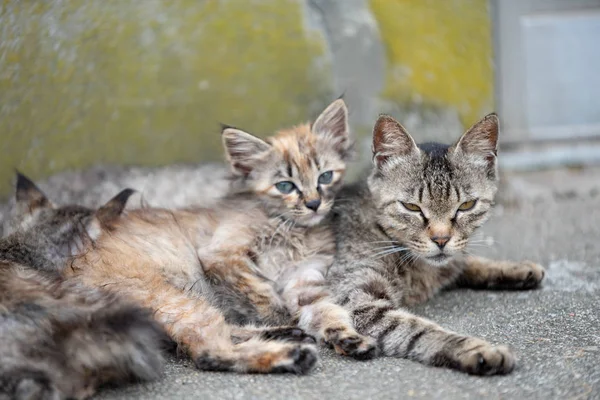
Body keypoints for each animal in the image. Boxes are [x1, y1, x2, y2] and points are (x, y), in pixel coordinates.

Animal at [65, 97, 376, 376]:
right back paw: (291, 352)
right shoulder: (223, 256)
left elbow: (328, 311)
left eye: (325, 177)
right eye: (285, 186)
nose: (313, 204)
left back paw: (284, 336)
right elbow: (265, 298)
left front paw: (348, 337)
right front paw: (289, 318)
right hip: (171, 296)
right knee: (208, 351)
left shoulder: (305, 277)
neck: (292, 229)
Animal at [326, 112, 548, 376]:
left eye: (466, 206)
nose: (441, 239)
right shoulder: (358, 303)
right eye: (412, 207)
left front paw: (515, 268)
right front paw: (476, 349)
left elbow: (464, 262)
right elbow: (419, 330)